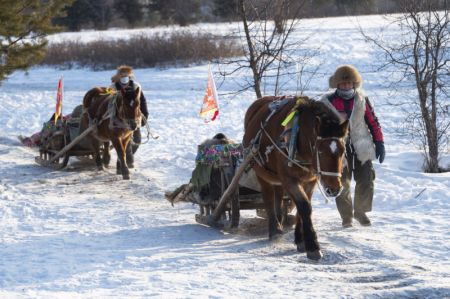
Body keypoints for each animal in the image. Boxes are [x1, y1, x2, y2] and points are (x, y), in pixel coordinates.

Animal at [243, 96, 348, 260]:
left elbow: (302, 207)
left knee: (278, 196)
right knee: (268, 198)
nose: (334, 189)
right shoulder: (290, 179)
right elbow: (304, 206)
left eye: (342, 151)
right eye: (320, 151)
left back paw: (280, 221)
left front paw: (300, 240)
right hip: (261, 171)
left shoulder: (310, 181)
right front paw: (312, 245)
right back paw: (274, 229)